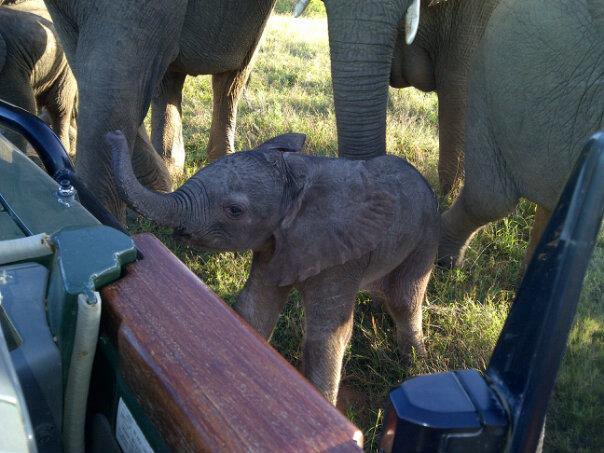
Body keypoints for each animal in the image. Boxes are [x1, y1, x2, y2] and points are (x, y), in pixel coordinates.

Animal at [106, 129, 438, 400]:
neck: (298, 176)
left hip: (425, 235)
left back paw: (414, 363)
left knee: (404, 298)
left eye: (235, 211)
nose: (113, 135)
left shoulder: (343, 255)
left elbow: (326, 334)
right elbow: (255, 309)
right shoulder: (272, 244)